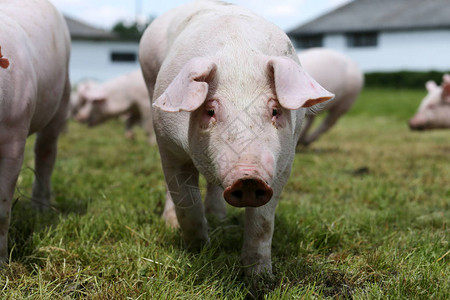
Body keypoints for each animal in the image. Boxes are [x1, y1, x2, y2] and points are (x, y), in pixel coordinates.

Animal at [0, 0, 71, 262]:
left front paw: (3, 263)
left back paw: (40, 209)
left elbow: (2, 209)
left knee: (46, 153)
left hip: (61, 100)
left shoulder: (14, 135)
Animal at [140, 0, 334, 276]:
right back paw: (173, 224)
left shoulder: (284, 163)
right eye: (210, 111)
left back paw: (218, 217)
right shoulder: (168, 144)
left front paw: (260, 277)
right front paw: (198, 252)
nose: (249, 178)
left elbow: (263, 222)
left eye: (275, 111)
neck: (237, 55)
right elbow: (186, 203)